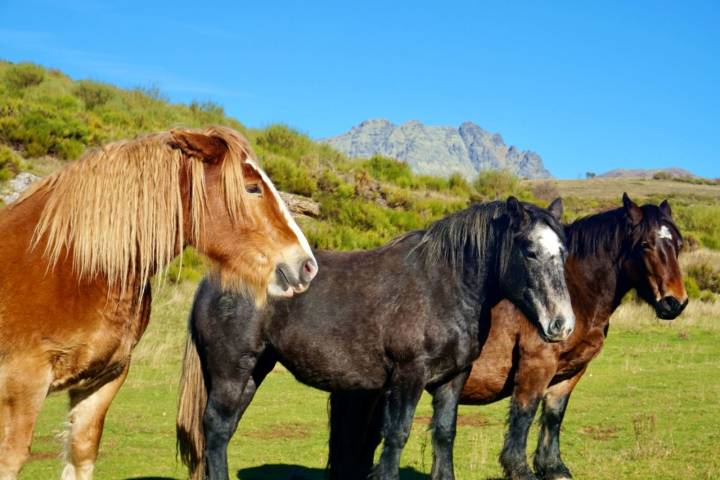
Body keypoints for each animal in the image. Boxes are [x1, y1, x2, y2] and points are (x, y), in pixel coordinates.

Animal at [0, 126, 316, 480]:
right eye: (252, 188)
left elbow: (81, 453)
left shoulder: (103, 379)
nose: (307, 265)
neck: (70, 265)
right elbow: (10, 458)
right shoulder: (23, 383)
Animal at [177, 198, 576, 480]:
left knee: (222, 431)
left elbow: (444, 435)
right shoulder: (407, 377)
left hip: (253, 370)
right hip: (231, 370)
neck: (442, 285)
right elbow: (396, 435)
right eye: (529, 250)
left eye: (563, 251)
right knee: (215, 428)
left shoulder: (452, 379)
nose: (562, 324)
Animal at [326, 194, 688, 480]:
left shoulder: (570, 373)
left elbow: (553, 417)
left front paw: (553, 467)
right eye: (645, 245)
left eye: (678, 244)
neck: (574, 291)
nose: (675, 302)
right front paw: (520, 469)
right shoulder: (536, 366)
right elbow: (524, 416)